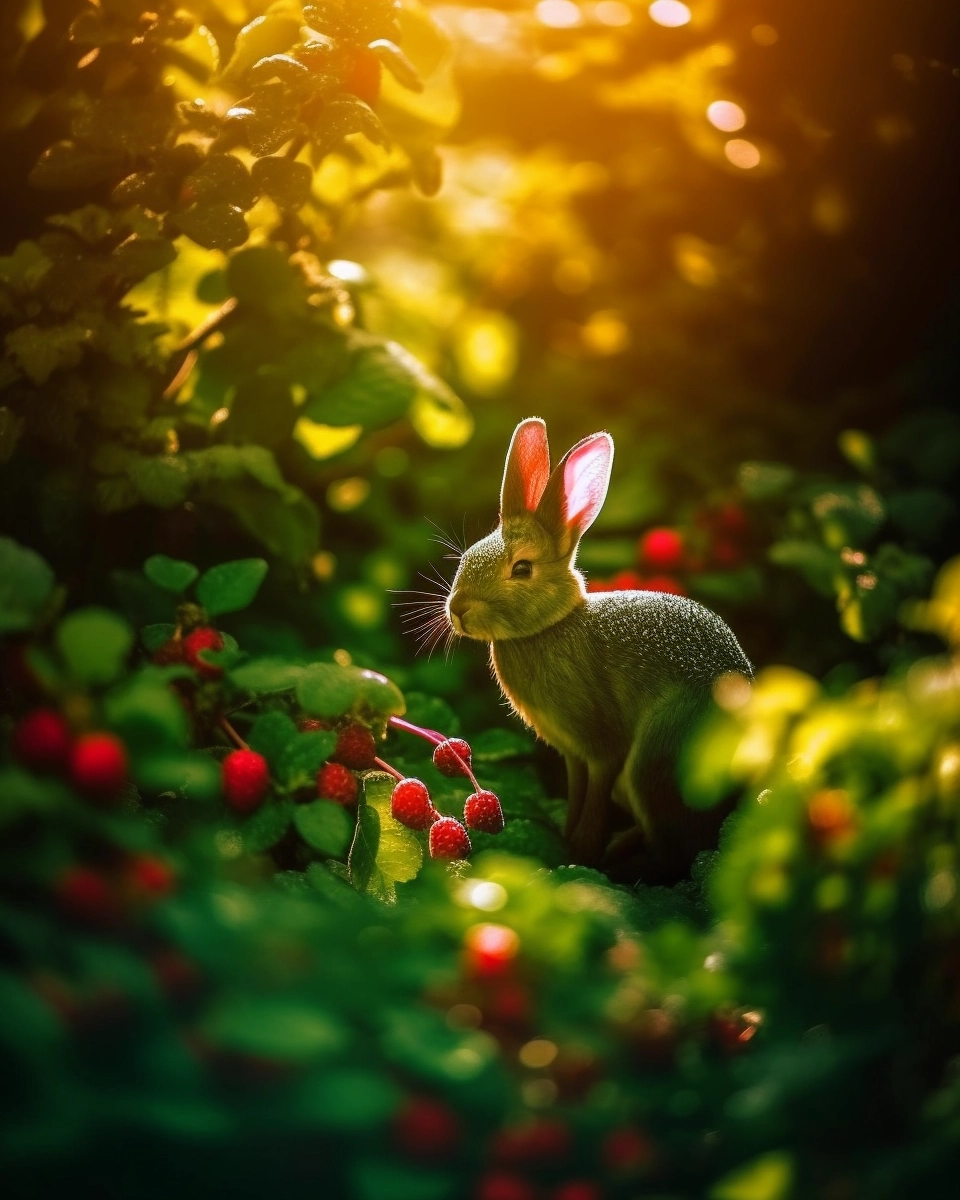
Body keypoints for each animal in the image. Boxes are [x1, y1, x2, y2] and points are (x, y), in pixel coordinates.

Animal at [446, 420, 753, 883]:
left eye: (522, 569)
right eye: (466, 556)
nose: (458, 609)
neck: (549, 627)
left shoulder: (603, 748)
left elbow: (593, 803)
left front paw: (580, 854)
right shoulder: (573, 755)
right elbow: (576, 798)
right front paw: (565, 844)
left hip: (652, 762)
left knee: (680, 850)